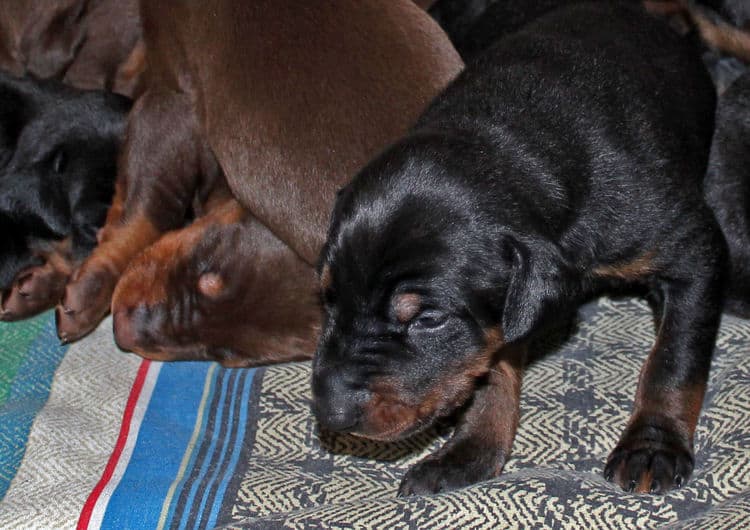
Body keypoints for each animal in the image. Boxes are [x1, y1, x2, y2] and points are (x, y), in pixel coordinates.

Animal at [57, 0, 464, 364]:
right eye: (207, 270)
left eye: (221, 354)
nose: (124, 329)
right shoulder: (170, 113)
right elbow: (144, 209)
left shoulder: (168, 100)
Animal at [312, 2, 724, 492]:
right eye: (329, 298)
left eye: (428, 319)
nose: (329, 413)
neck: (516, 142)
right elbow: (493, 363)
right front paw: (469, 451)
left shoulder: (692, 254)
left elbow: (673, 359)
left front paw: (652, 446)